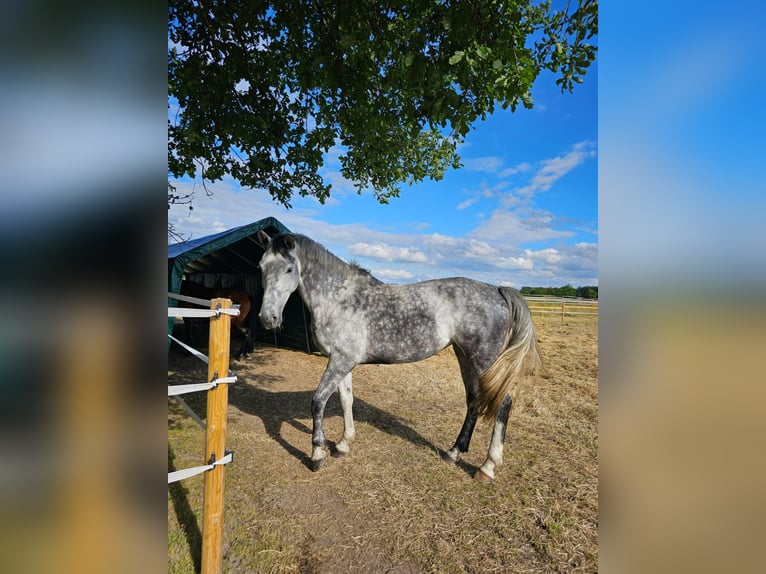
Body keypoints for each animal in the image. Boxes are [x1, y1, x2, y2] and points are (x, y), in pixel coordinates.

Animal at [256, 232, 540, 480]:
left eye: (288, 269)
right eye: (261, 267)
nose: (268, 319)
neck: (338, 298)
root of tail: (498, 290)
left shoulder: (340, 362)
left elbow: (318, 402)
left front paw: (317, 454)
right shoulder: (342, 362)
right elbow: (346, 400)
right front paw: (343, 444)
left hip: (485, 360)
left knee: (503, 403)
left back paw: (487, 467)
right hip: (465, 357)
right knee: (473, 401)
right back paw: (454, 452)